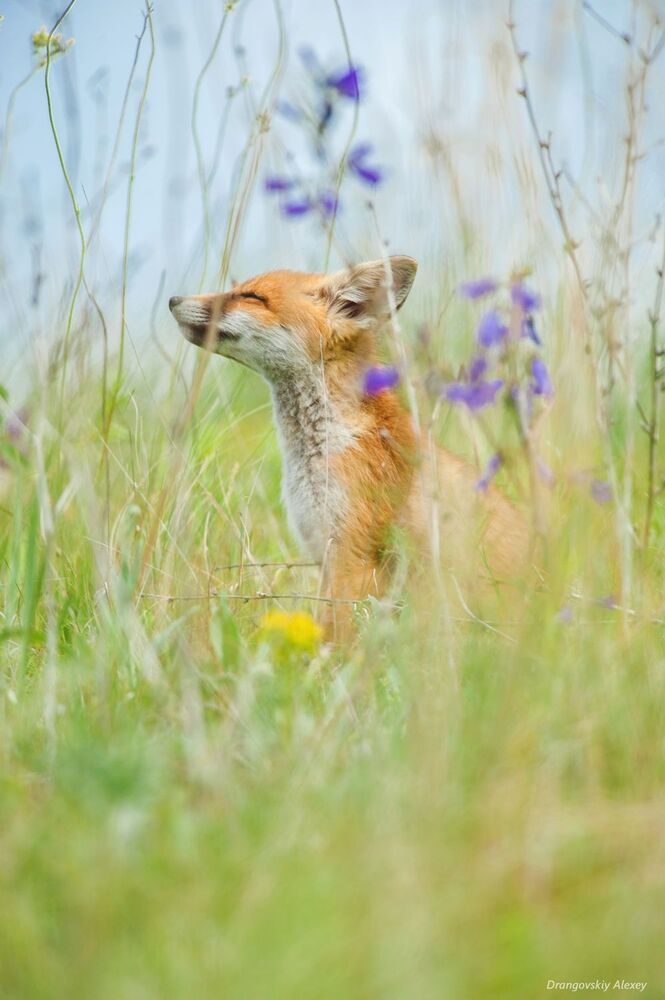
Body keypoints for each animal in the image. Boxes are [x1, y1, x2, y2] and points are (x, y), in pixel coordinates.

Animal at [169, 256, 529, 638]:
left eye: (251, 296)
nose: (173, 300)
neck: (323, 446)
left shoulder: (352, 556)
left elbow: (337, 634)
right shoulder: (324, 553)